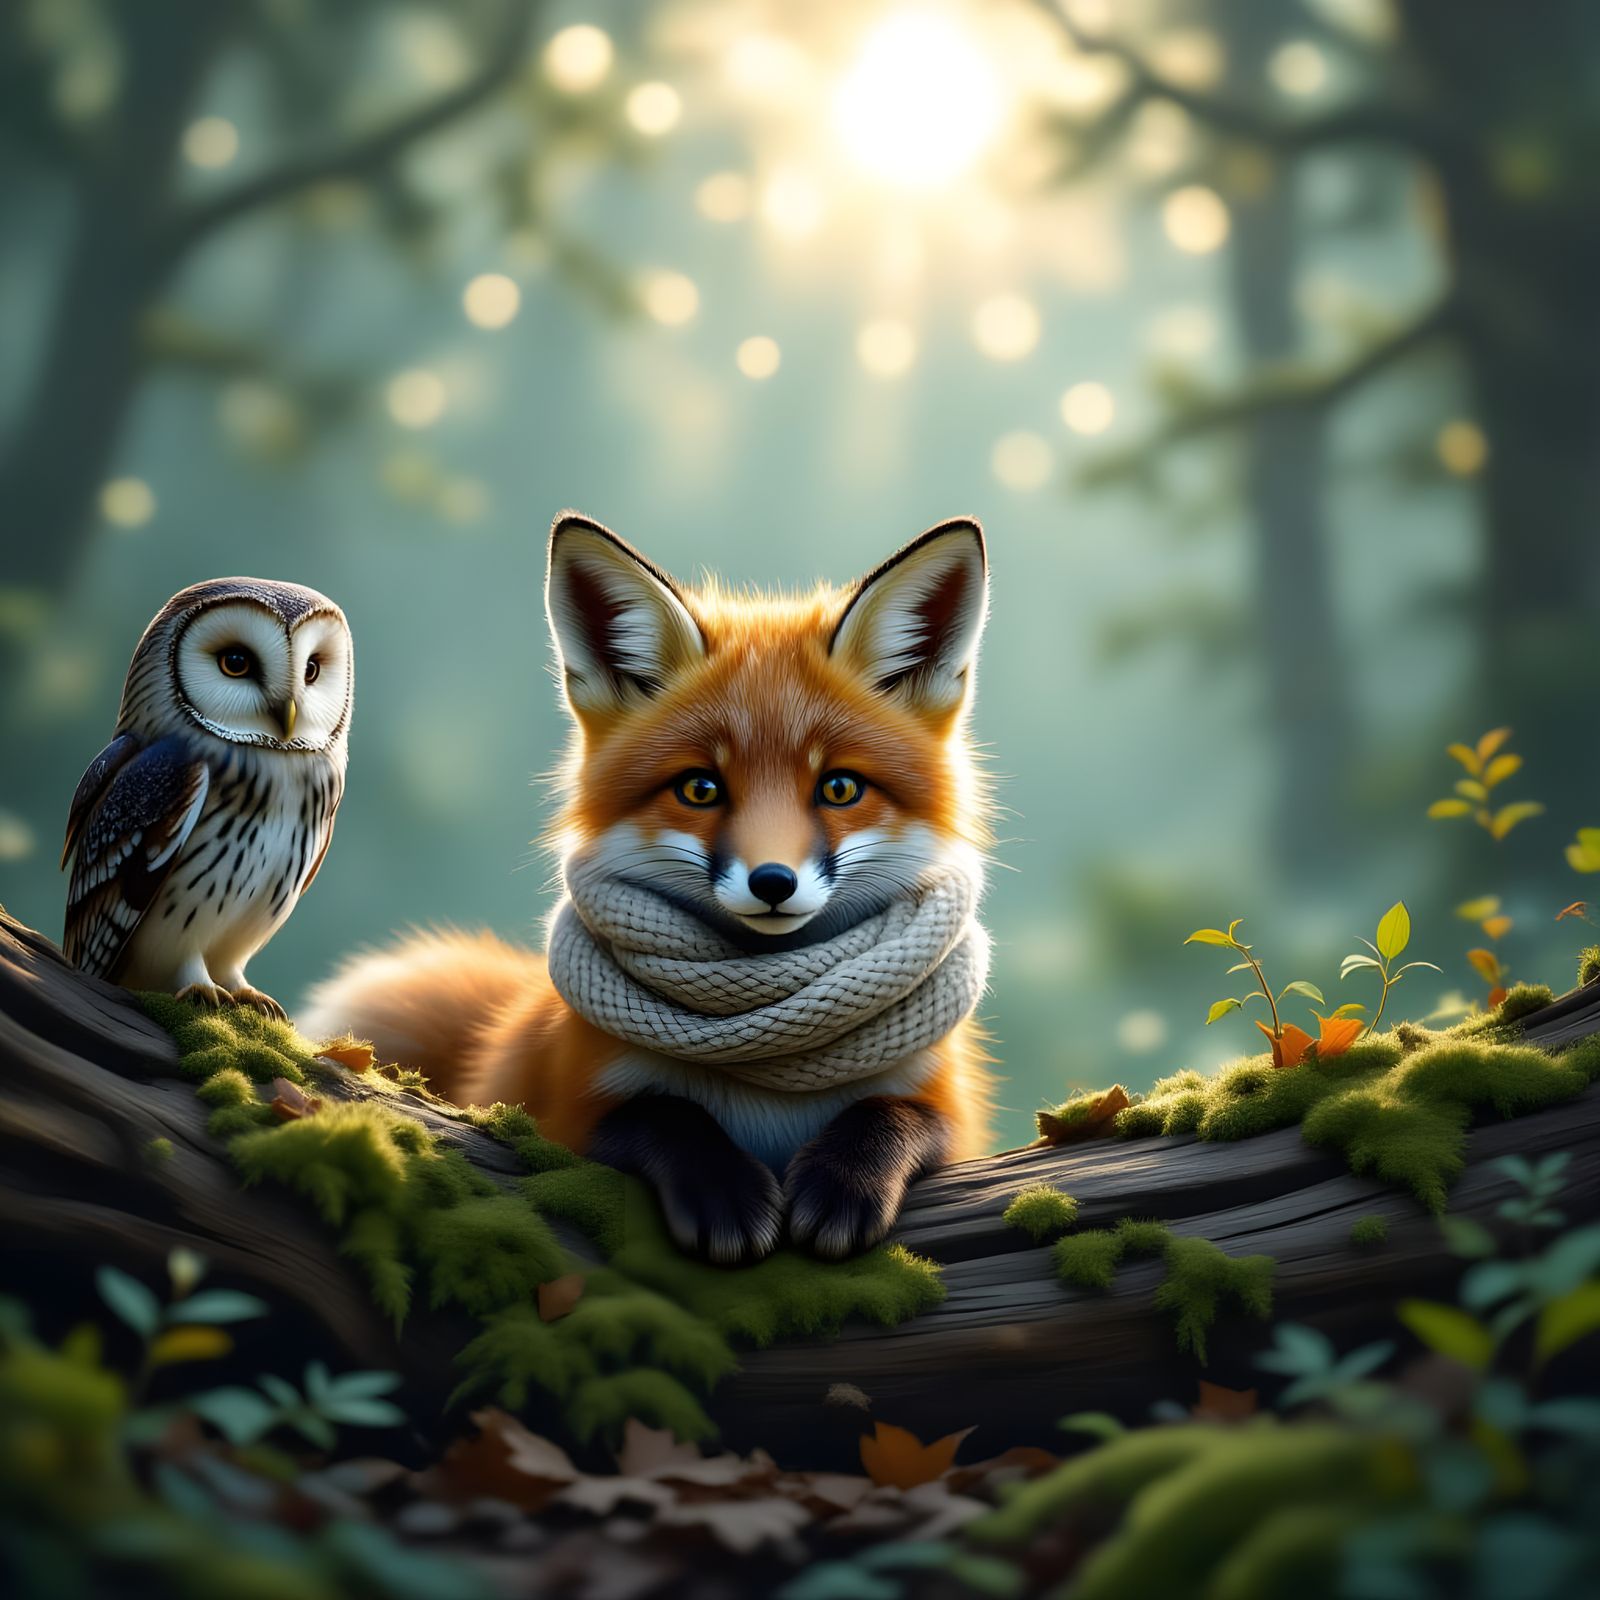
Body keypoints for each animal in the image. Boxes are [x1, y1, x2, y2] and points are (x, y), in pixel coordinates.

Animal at [301, 513, 995, 1263]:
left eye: (839, 788)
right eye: (700, 789)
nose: (772, 882)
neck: (765, 1070)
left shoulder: (952, 1111)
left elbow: (891, 1111)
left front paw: (846, 1178)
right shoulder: (561, 1115)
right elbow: (661, 1111)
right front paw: (723, 1188)